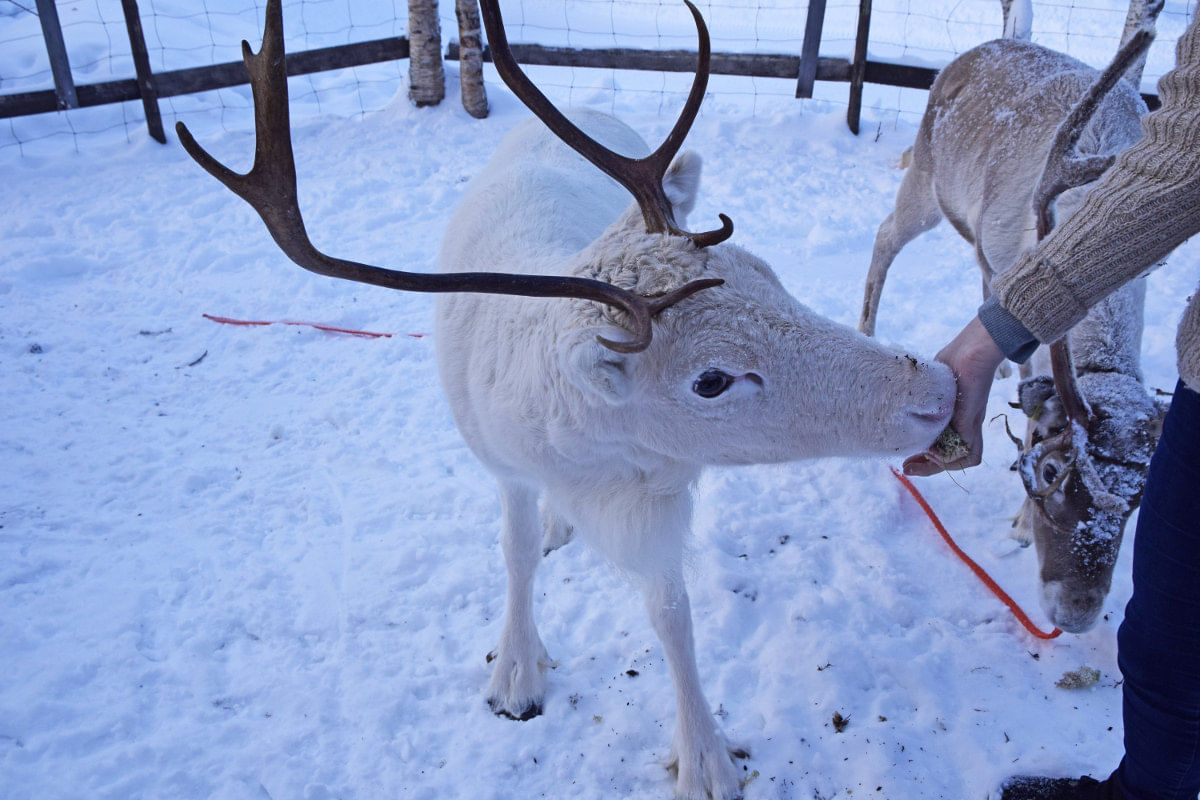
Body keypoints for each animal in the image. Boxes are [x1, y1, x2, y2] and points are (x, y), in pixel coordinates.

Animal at [176, 1, 957, 797]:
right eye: (709, 379)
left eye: (766, 272)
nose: (938, 388)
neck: (589, 458)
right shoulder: (507, 467)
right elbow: (516, 556)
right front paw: (517, 673)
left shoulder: (650, 497)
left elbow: (671, 612)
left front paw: (704, 755)